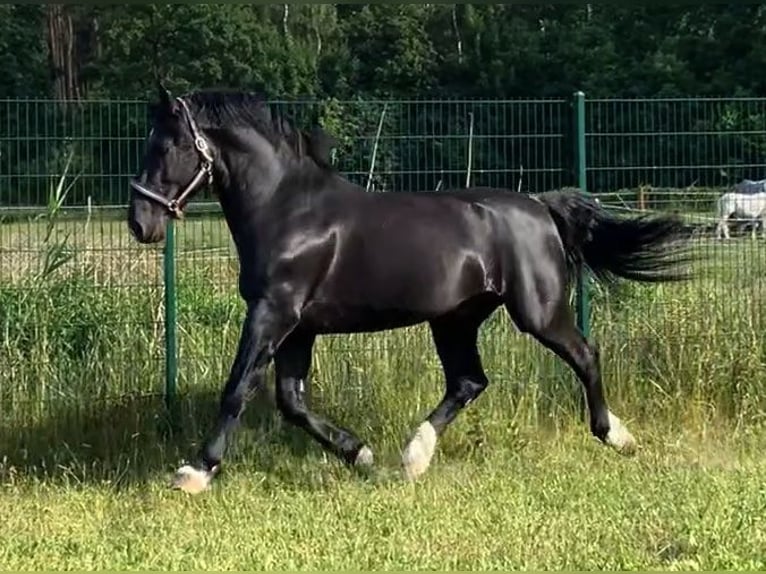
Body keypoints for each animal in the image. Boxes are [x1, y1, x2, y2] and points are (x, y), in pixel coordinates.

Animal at [127, 85, 692, 495]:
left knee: (584, 355)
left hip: (538, 311)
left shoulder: (274, 313)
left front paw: (196, 472)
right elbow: (291, 401)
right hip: (455, 319)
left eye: (169, 145)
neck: (288, 209)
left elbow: (239, 388)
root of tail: (539, 205)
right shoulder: (297, 327)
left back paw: (616, 435)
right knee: (468, 381)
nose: (140, 223)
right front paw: (360, 455)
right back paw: (413, 456)